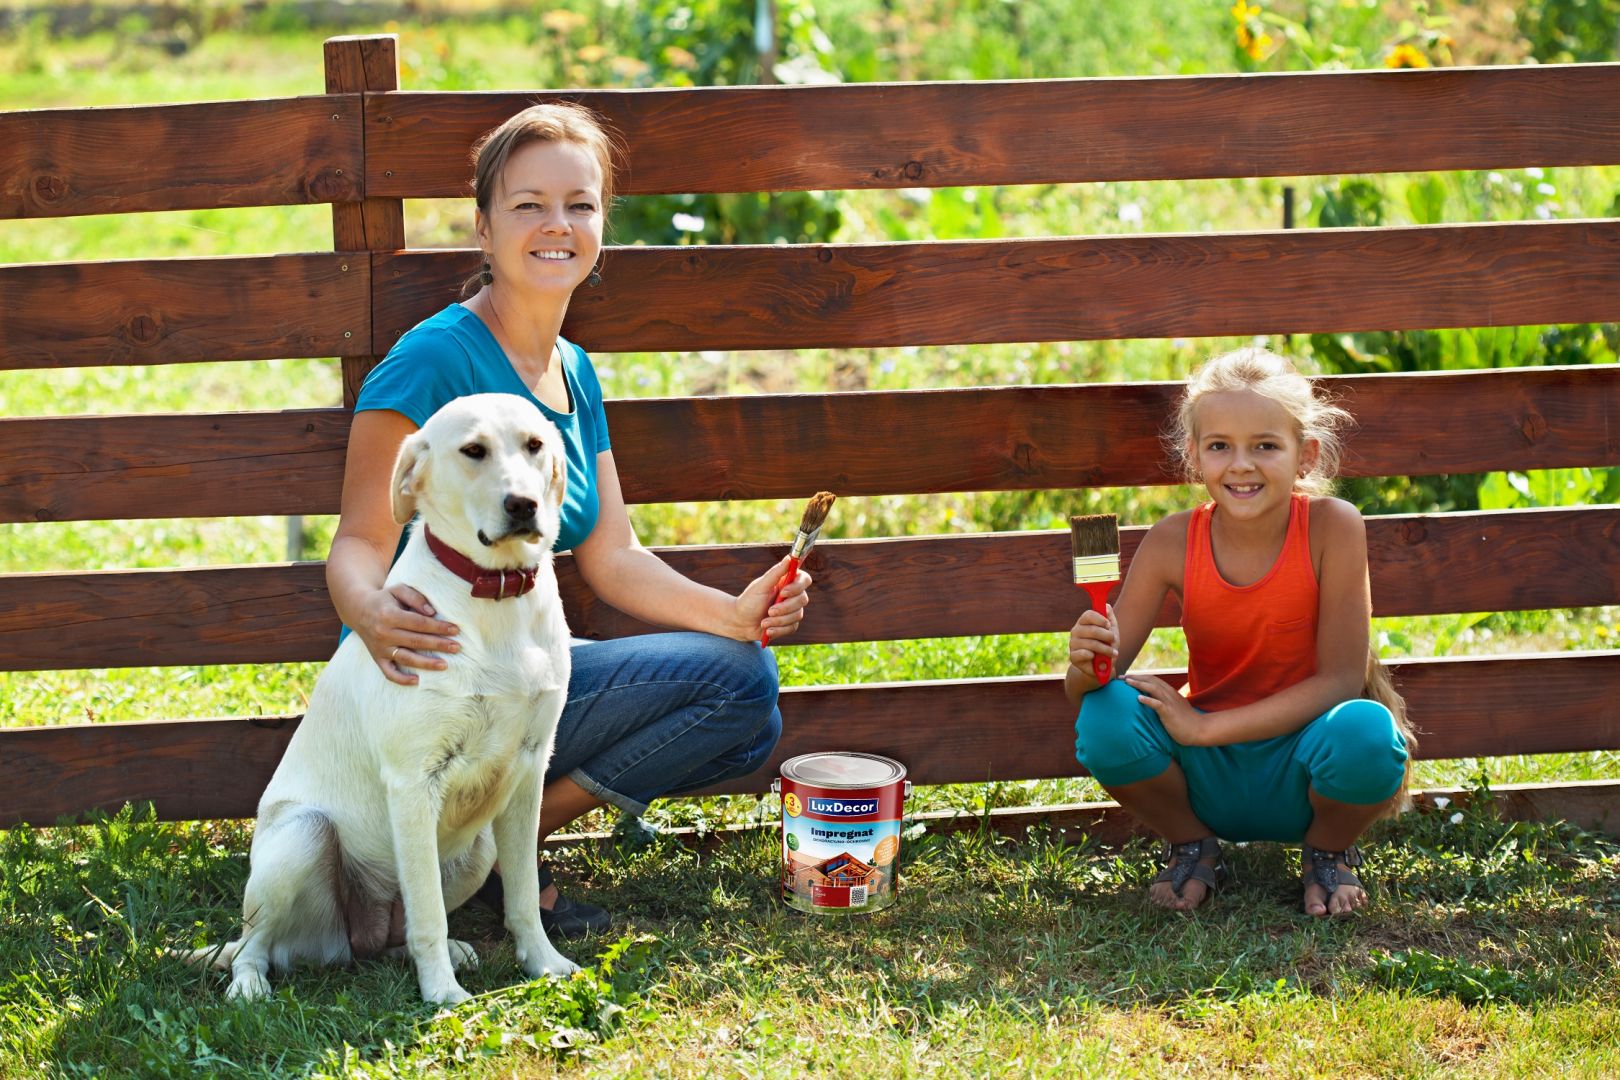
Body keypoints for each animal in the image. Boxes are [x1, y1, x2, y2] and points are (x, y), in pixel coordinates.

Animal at [191, 395, 579, 1003]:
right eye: (474, 450)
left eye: (535, 445)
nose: (523, 504)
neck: (495, 597)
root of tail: (350, 942)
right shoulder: (413, 781)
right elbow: (428, 915)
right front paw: (442, 996)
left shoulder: (528, 769)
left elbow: (522, 896)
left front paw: (543, 963)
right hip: (303, 837)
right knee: (257, 945)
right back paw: (250, 984)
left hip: (478, 850)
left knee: (393, 937)